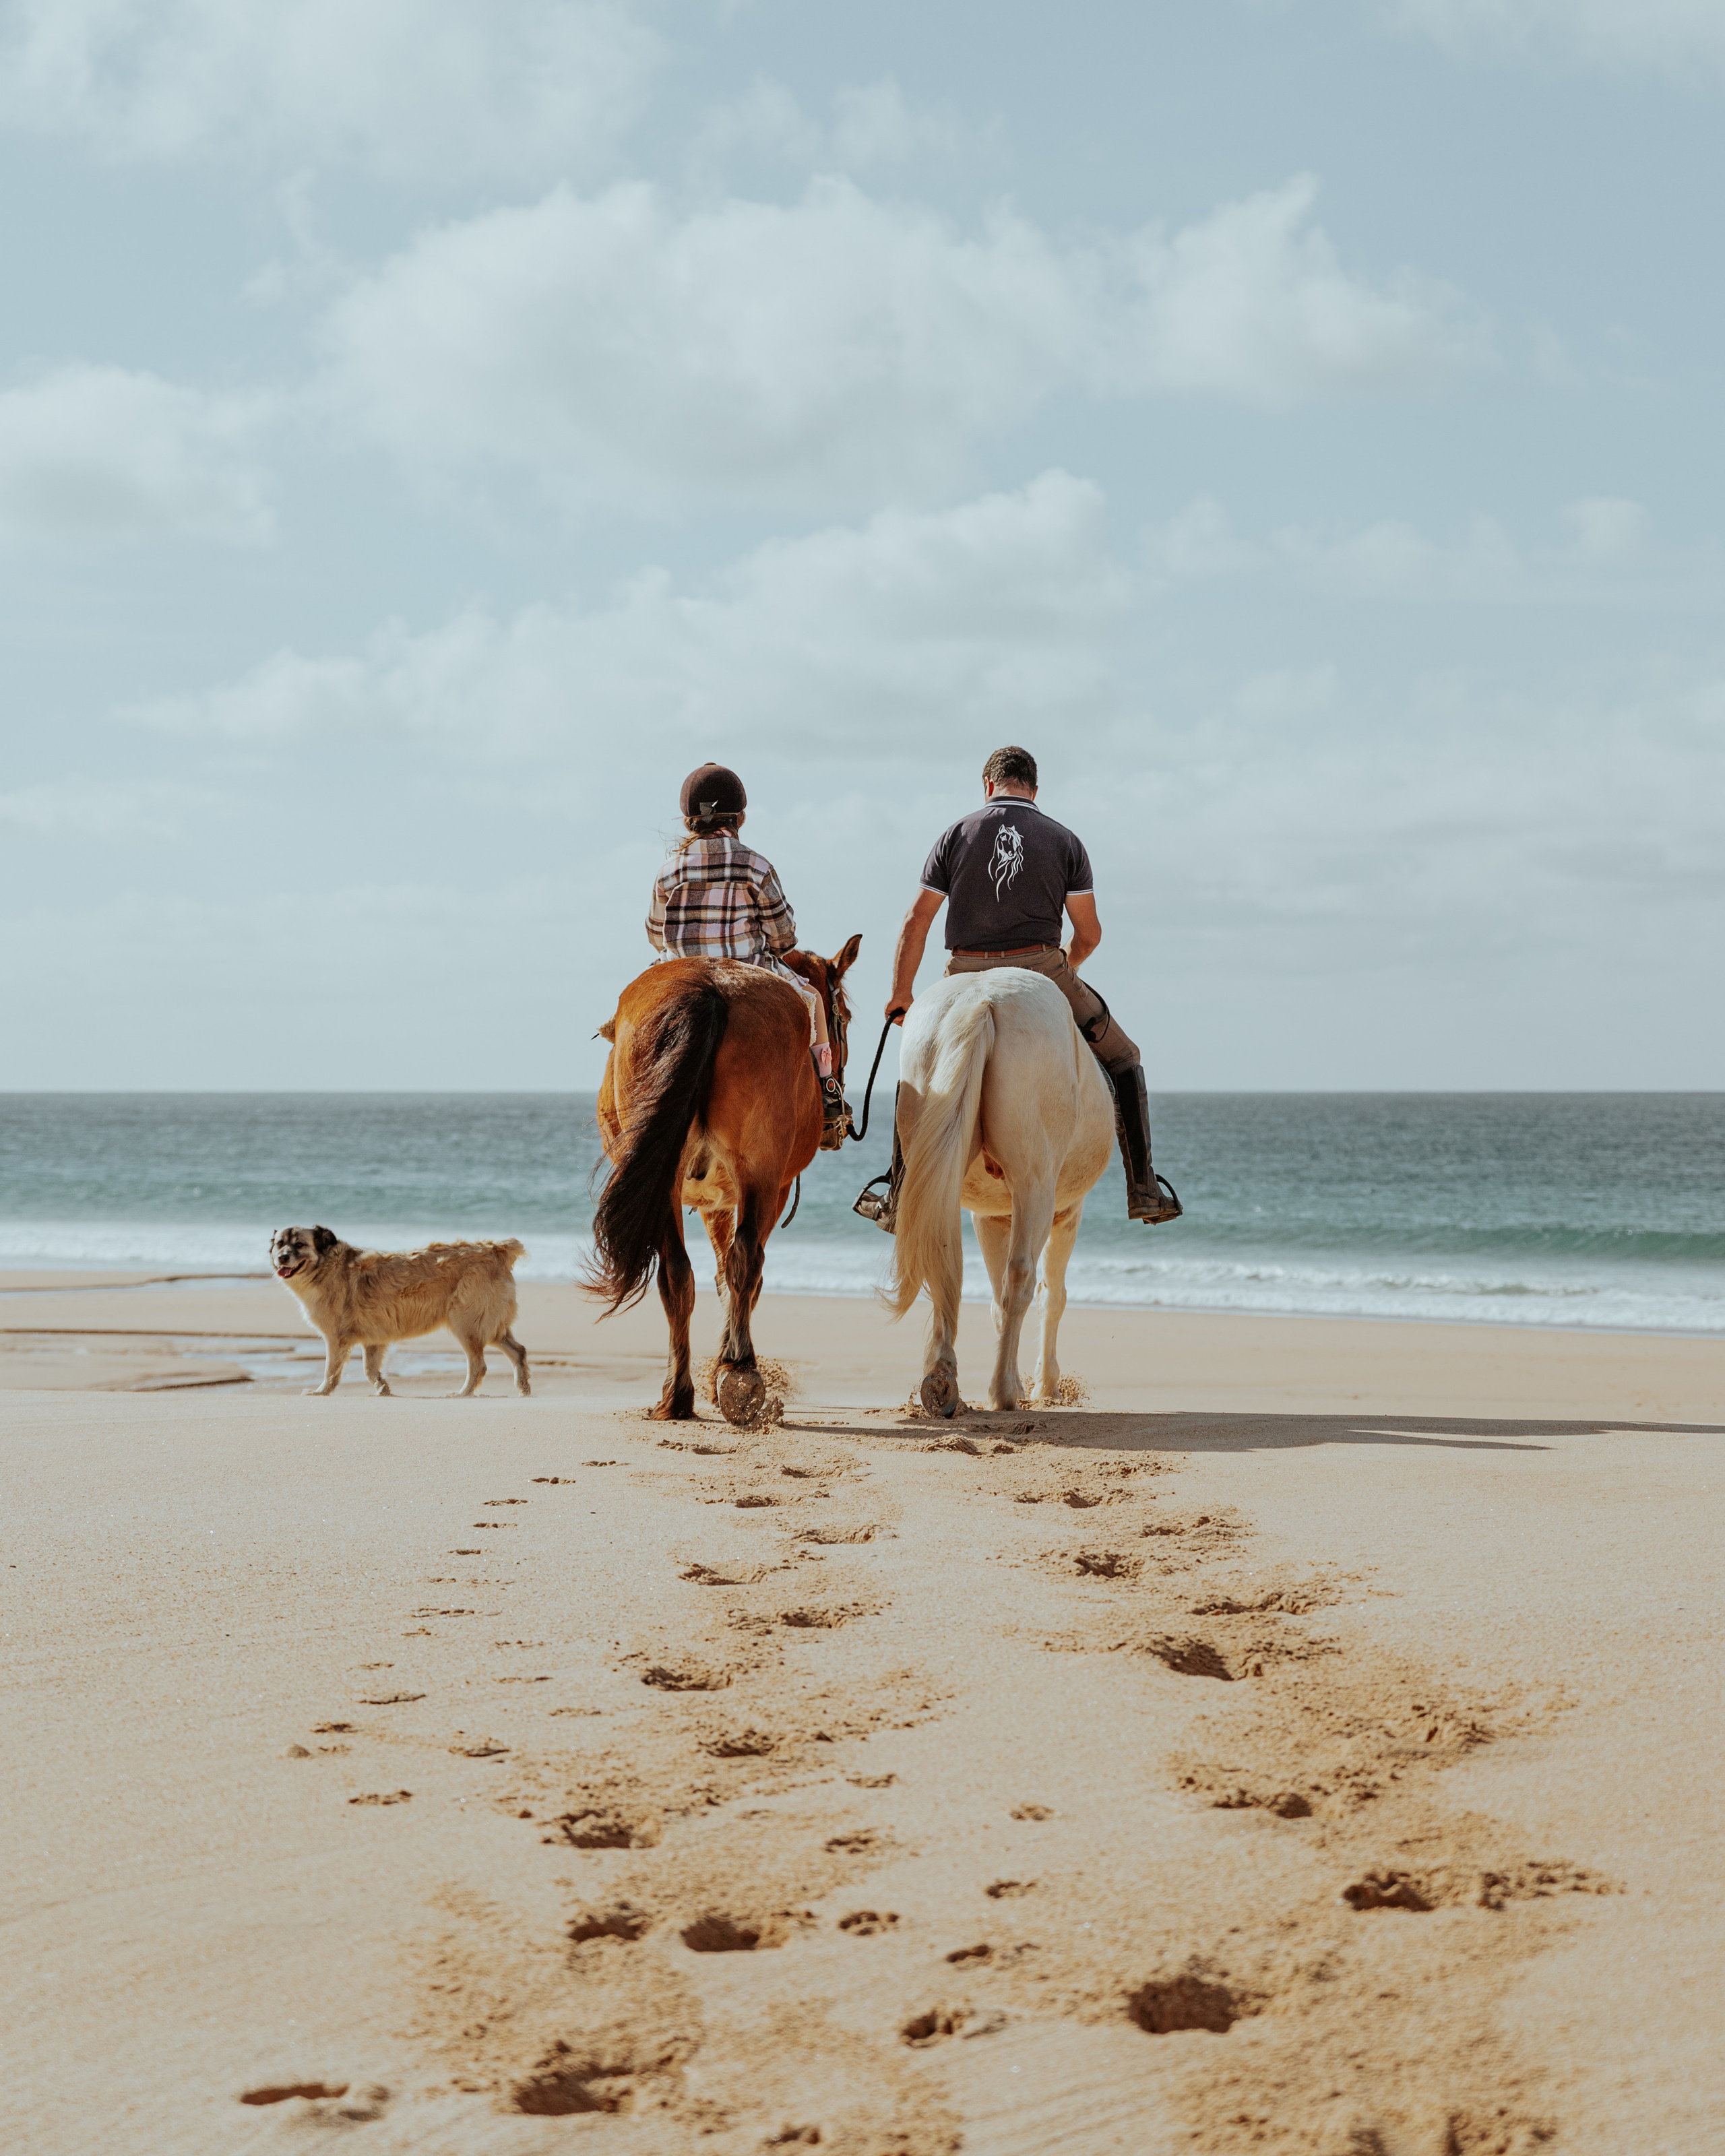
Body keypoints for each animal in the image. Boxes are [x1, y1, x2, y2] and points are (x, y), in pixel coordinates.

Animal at [587, 938, 861, 1423]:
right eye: (843, 1018)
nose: (839, 1113)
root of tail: (708, 987)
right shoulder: (771, 1189)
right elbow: (744, 1276)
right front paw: (725, 1366)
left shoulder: (718, 1199)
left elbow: (717, 1275)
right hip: (760, 1174)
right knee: (744, 1259)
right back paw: (739, 1372)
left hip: (666, 1183)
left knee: (677, 1273)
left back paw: (679, 1393)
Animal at [887, 968, 1113, 1416]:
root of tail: (981, 999)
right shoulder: (1068, 1214)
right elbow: (1051, 1297)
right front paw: (1046, 1384)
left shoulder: (988, 1216)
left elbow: (996, 1301)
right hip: (1036, 1189)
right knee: (1022, 1277)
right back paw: (1004, 1391)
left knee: (945, 1262)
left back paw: (942, 1378)